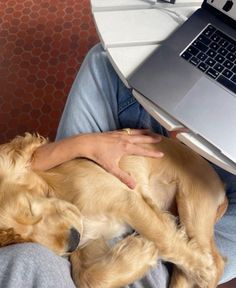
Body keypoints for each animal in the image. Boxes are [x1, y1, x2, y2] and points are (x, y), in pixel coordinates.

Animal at [0, 133, 228, 288]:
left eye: (29, 208)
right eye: (17, 238)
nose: (72, 241)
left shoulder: (126, 200)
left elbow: (164, 239)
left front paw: (204, 269)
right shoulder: (90, 242)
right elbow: (87, 277)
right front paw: (141, 250)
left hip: (192, 205)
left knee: (216, 259)